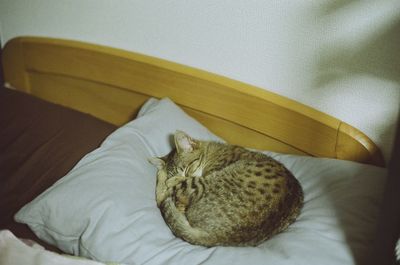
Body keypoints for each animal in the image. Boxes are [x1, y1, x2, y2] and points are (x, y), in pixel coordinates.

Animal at [149, 131, 304, 246]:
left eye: (187, 169)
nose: (173, 178)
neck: (210, 152)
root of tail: (217, 236)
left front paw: (168, 179)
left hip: (201, 183)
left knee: (163, 198)